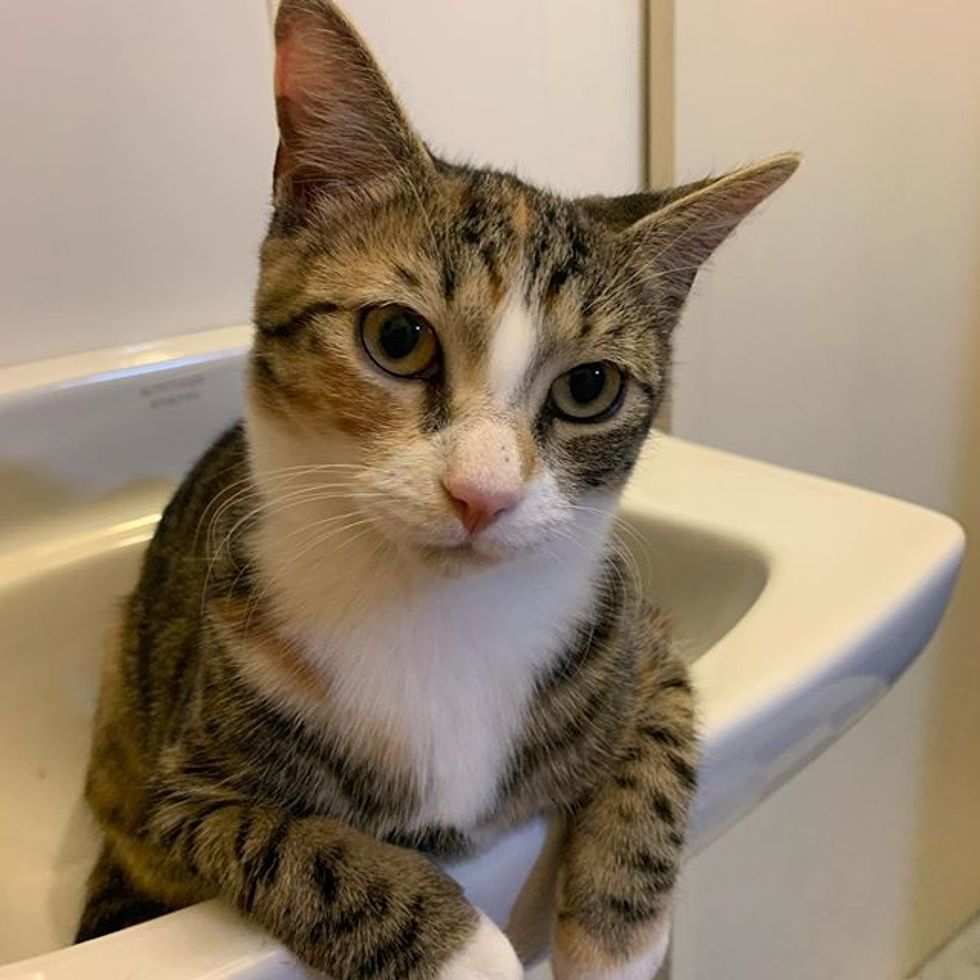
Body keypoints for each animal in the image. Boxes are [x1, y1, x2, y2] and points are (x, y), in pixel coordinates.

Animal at [76, 1, 796, 980]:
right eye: (397, 337)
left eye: (590, 388)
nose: (482, 494)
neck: (436, 615)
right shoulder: (187, 786)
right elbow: (298, 848)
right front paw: (470, 952)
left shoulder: (632, 642)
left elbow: (660, 739)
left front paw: (619, 935)